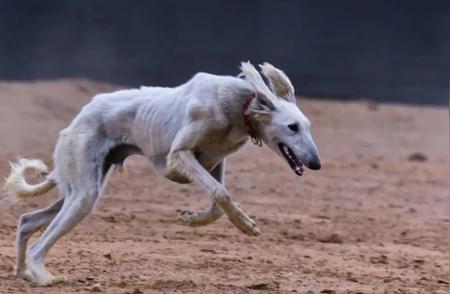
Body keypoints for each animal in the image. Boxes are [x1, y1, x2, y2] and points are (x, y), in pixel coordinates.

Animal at [3, 61, 320, 284]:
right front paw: (245, 225)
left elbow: (218, 202)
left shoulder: (215, 161)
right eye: (292, 127)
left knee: (28, 220)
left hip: (80, 188)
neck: (239, 106)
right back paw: (42, 276)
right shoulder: (179, 156)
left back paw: (23, 272)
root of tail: (75, 121)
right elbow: (220, 192)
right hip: (84, 192)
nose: (316, 163)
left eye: (308, 126)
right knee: (38, 244)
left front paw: (194, 219)